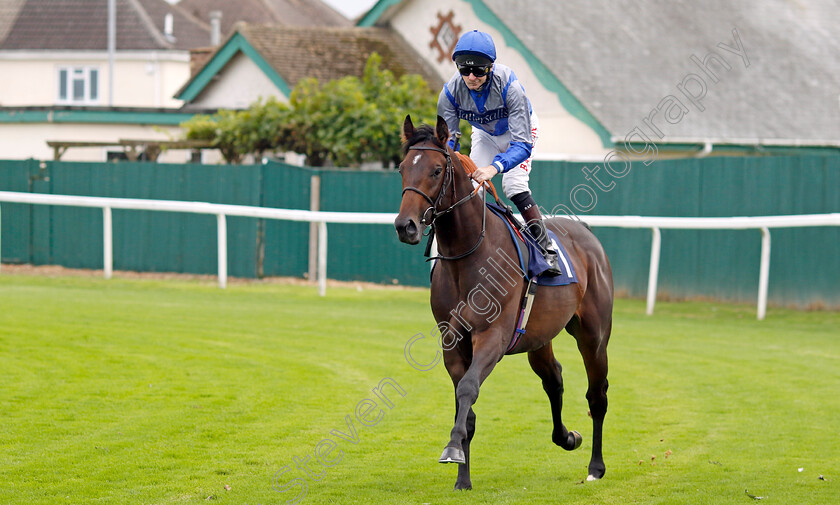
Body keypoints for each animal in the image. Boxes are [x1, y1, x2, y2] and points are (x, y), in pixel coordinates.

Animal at [390, 115, 612, 488]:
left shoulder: (492, 336)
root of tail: (587, 234)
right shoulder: (453, 341)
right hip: (539, 337)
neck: (468, 255)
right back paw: (566, 437)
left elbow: (468, 389)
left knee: (596, 395)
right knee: (553, 378)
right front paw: (462, 478)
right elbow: (464, 405)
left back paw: (596, 467)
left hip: (593, 335)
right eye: (403, 168)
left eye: (436, 170)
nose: (405, 226)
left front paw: (452, 449)